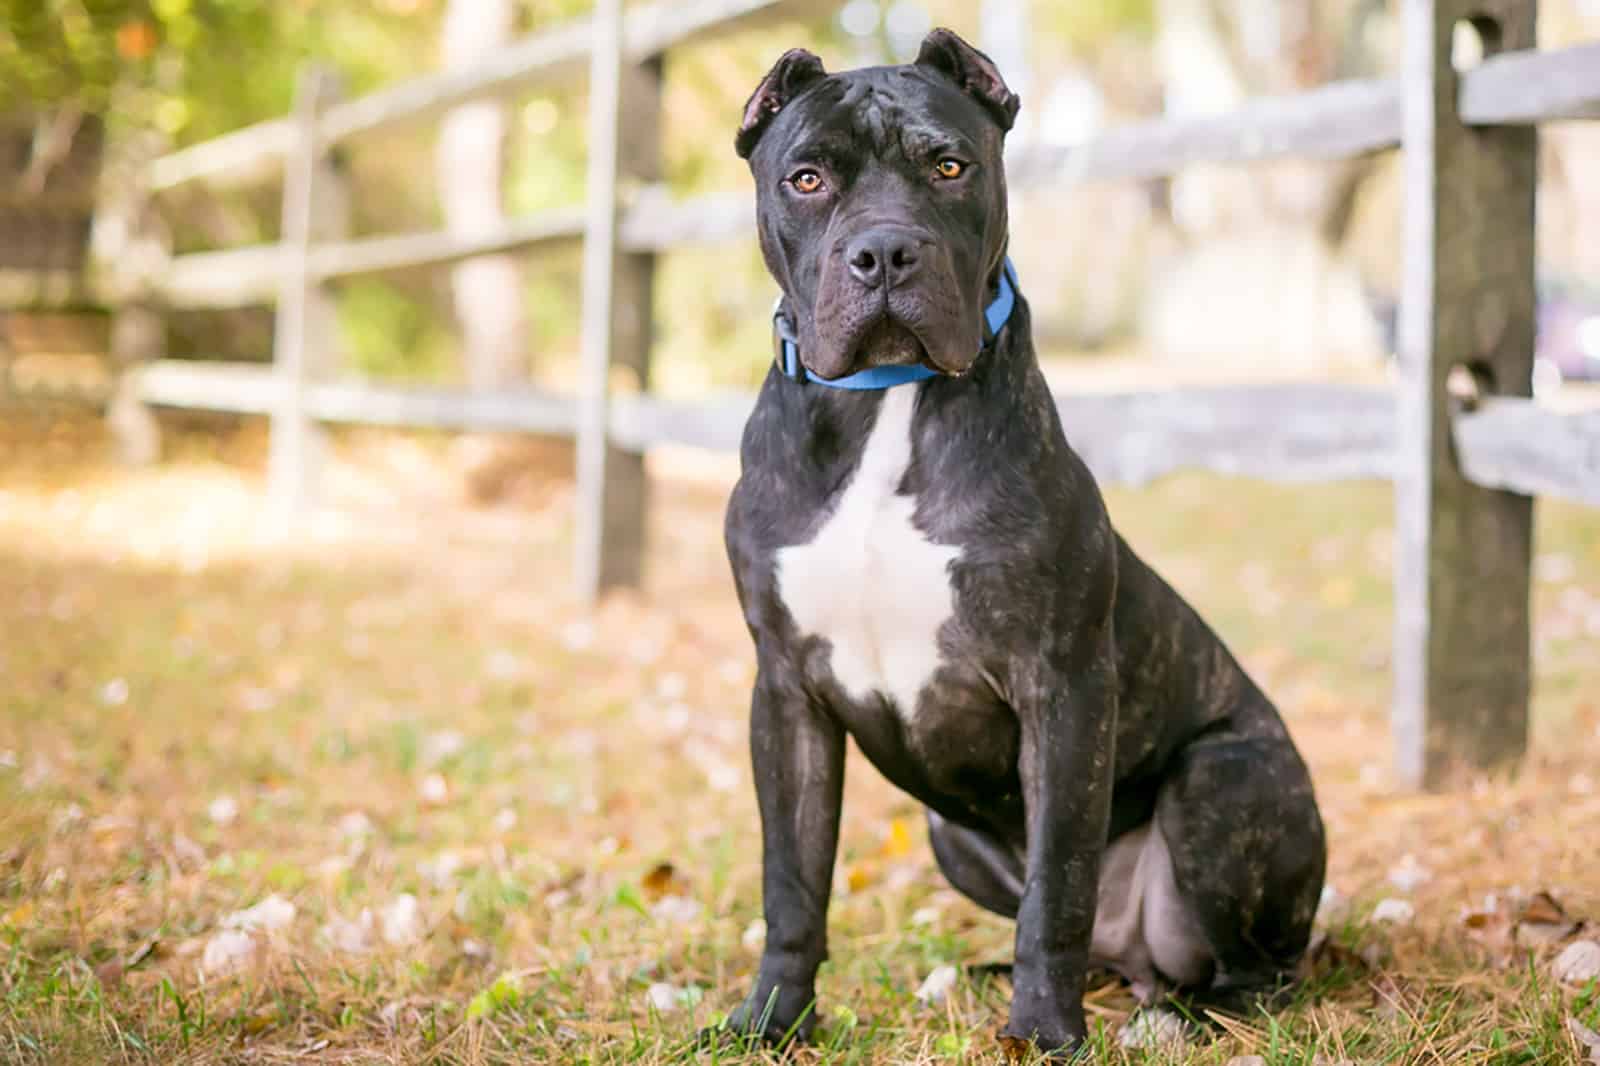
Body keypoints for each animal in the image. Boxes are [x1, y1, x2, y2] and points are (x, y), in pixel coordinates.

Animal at [716, 27, 1324, 1056]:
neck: (885, 403)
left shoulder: (1062, 686)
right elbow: (791, 883)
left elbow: (1059, 884)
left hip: (1224, 783)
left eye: (949, 165)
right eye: (806, 178)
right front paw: (770, 1020)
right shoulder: (787, 696)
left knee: (1252, 967)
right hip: (951, 836)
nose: (885, 251)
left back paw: (1178, 1018)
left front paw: (1044, 1030)